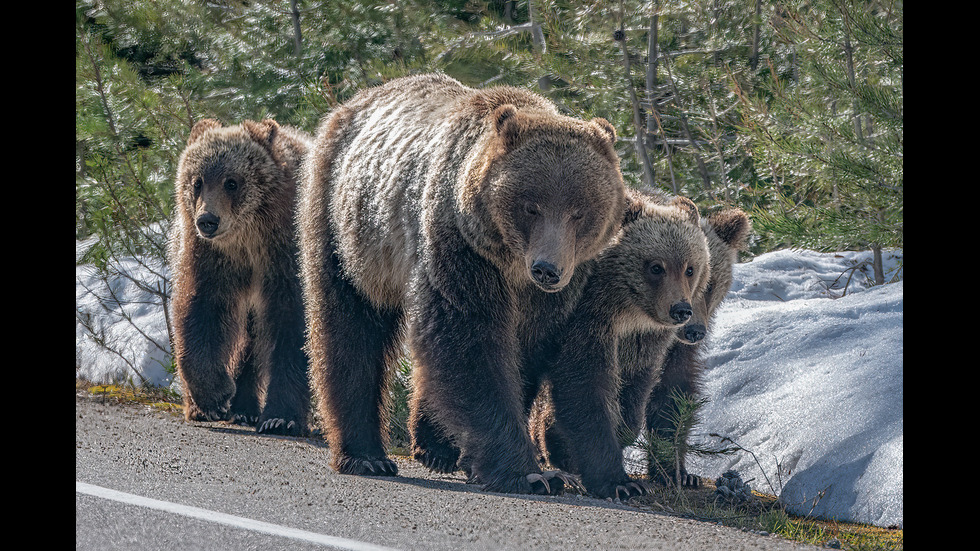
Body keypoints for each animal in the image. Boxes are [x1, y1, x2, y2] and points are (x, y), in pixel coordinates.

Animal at [168, 119, 312, 436]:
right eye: (197, 181)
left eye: (231, 182)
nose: (207, 221)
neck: (248, 239)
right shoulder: (211, 258)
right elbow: (201, 311)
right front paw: (213, 399)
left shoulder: (285, 261)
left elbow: (292, 327)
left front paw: (280, 417)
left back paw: (246, 408)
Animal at [294, 73, 624, 496]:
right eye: (531, 206)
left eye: (579, 212)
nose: (547, 269)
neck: (510, 265)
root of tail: (352, 103)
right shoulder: (460, 249)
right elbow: (468, 343)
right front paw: (529, 472)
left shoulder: (566, 288)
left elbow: (550, 355)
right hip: (347, 228)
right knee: (349, 328)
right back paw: (365, 454)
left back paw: (434, 445)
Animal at [528, 192, 712, 498]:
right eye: (656, 266)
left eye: (690, 268)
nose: (681, 310)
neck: (624, 312)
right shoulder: (586, 320)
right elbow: (584, 384)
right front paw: (617, 480)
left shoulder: (643, 341)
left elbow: (636, 391)